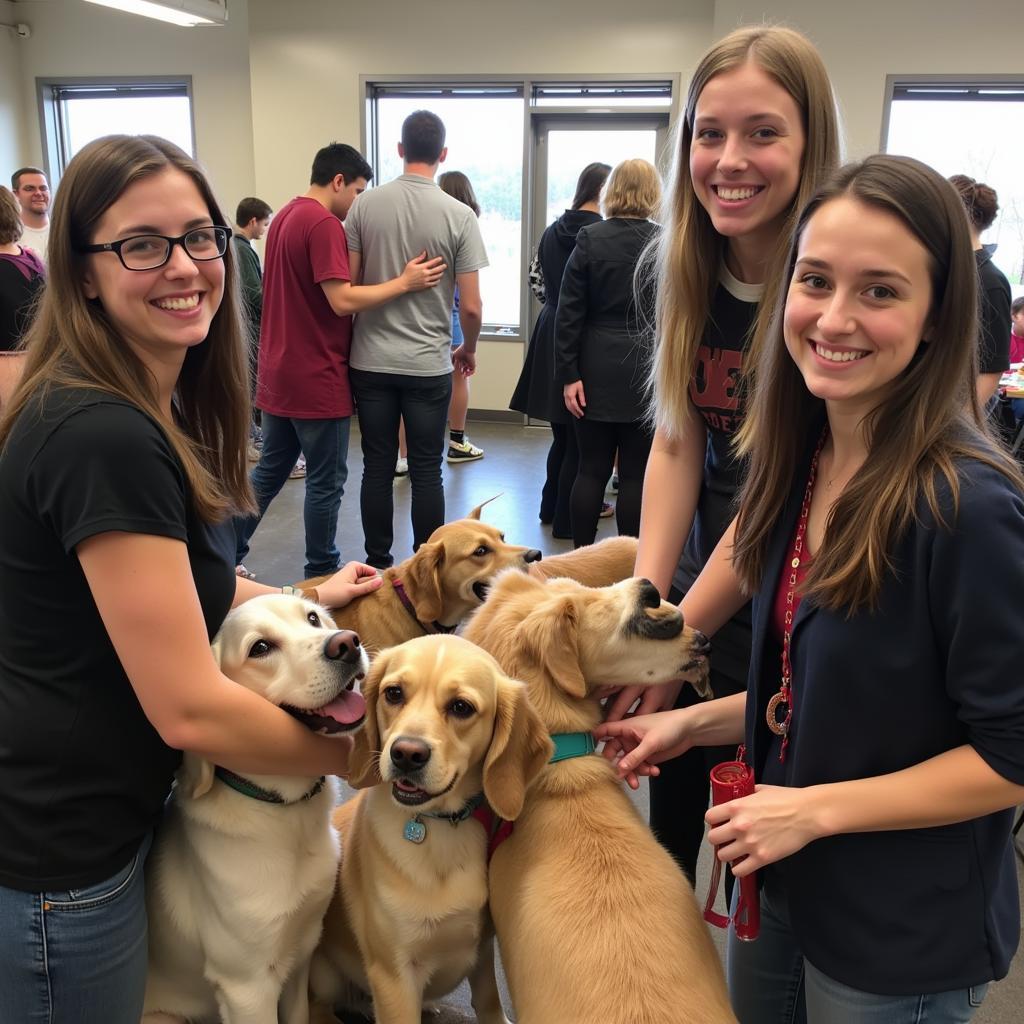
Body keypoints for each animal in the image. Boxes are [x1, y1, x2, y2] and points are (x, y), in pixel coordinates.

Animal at [142, 593, 368, 1024]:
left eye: (313, 619)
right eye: (260, 648)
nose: (346, 643)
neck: (288, 816)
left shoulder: (300, 954)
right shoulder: (247, 987)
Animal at [309, 630, 552, 1024]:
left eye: (461, 707)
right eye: (394, 693)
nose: (406, 754)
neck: (442, 828)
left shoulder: (482, 950)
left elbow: (489, 1004)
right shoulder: (393, 976)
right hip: (325, 976)